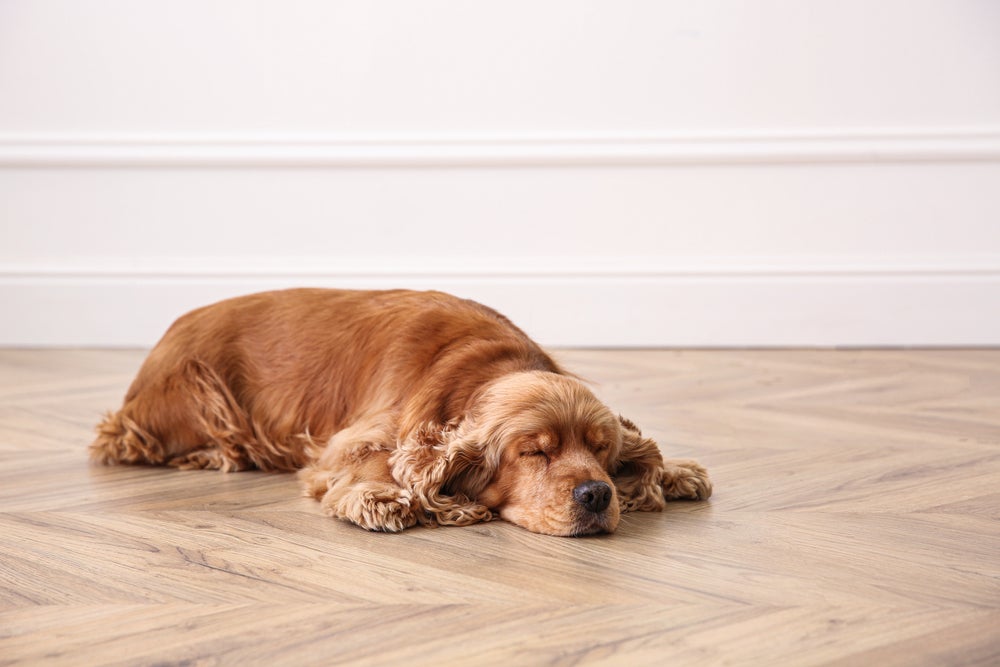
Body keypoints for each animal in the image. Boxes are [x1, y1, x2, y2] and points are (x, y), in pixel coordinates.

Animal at [88, 290, 712, 536]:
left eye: (602, 451)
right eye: (534, 452)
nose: (598, 494)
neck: (482, 368)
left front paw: (676, 471)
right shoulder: (352, 437)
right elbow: (375, 459)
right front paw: (380, 496)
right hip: (200, 391)